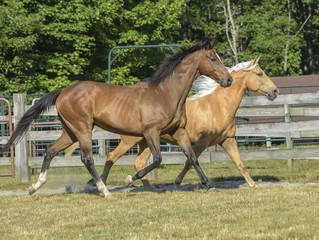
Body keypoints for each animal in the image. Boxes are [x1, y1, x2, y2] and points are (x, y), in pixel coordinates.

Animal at [1, 41, 234, 199]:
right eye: (213, 58)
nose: (229, 79)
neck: (166, 93)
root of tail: (63, 91)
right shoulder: (151, 132)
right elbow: (157, 160)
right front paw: (129, 179)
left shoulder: (179, 131)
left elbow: (192, 157)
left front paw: (208, 185)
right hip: (83, 129)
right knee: (87, 159)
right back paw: (104, 190)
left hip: (70, 131)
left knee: (50, 150)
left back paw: (34, 187)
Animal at [87, 57, 278, 188]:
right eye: (259, 73)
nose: (275, 91)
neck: (217, 106)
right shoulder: (202, 142)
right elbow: (189, 162)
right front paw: (178, 181)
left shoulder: (227, 140)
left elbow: (240, 163)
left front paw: (253, 184)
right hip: (131, 141)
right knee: (112, 157)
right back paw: (101, 183)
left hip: (145, 142)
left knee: (139, 163)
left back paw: (148, 187)